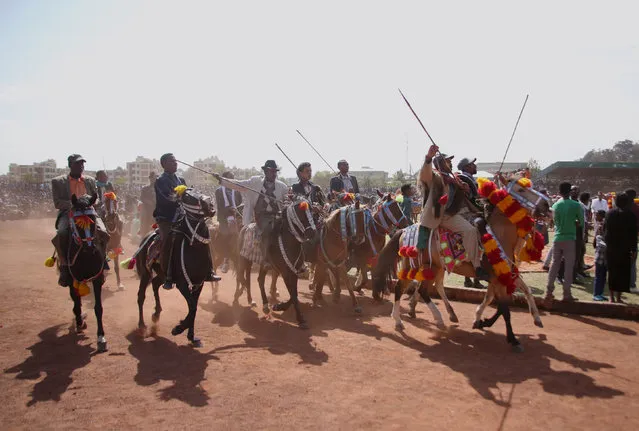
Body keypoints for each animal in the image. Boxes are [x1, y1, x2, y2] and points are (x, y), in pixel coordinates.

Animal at [60, 194, 108, 352]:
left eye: (93, 219)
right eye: (76, 221)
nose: (90, 248)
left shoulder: (97, 278)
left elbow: (98, 308)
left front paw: (101, 337)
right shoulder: (73, 279)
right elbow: (76, 301)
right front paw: (80, 321)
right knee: (76, 299)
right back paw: (79, 320)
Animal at [235, 197, 318, 330]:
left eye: (312, 211)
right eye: (300, 213)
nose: (312, 232)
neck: (290, 242)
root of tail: (245, 226)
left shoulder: (294, 271)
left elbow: (294, 294)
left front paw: (279, 306)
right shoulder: (285, 272)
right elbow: (293, 295)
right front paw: (300, 318)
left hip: (261, 265)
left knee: (258, 279)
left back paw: (261, 303)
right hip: (243, 259)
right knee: (242, 277)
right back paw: (244, 296)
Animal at [372, 177, 552, 352]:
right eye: (521, 189)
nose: (547, 204)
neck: (498, 235)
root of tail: (404, 230)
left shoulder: (503, 275)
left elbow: (520, 294)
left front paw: (484, 320)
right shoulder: (497, 279)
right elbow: (505, 309)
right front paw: (512, 339)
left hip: (435, 267)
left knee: (427, 288)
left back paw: (434, 316)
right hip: (415, 266)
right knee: (405, 288)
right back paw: (412, 320)